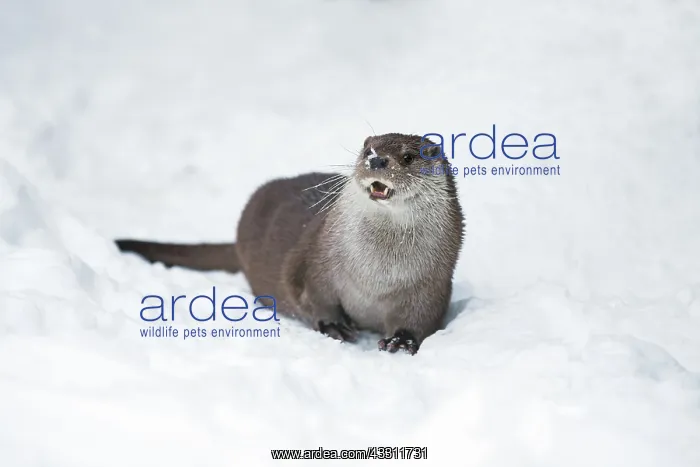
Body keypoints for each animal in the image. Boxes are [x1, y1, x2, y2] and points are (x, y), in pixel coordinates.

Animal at [116, 133, 464, 354]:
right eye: (368, 149)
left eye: (407, 157)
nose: (377, 160)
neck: (376, 276)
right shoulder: (316, 262)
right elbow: (310, 296)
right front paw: (333, 326)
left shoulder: (431, 285)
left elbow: (421, 319)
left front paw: (401, 341)